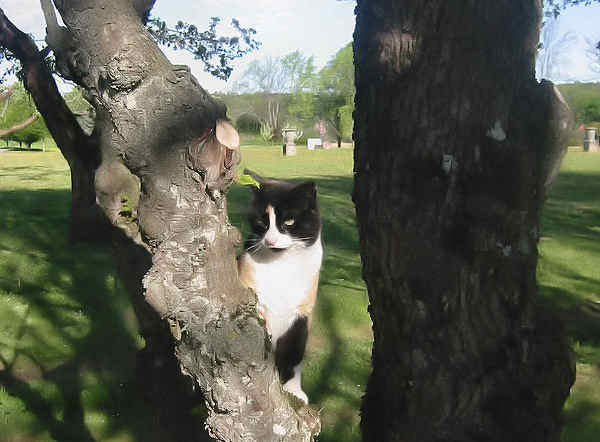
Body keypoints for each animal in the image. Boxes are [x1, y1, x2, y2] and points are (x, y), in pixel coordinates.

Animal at [237, 170, 322, 404]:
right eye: (261, 221)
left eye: (290, 220)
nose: (271, 240)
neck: (282, 266)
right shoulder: (257, 306)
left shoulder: (302, 315)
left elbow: (295, 354)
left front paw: (294, 391)